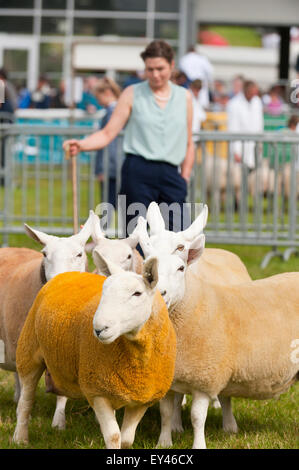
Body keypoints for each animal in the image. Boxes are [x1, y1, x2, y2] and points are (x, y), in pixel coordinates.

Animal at [12, 255, 177, 450]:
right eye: (103, 291)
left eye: (137, 293)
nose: (99, 329)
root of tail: (69, 273)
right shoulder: (97, 391)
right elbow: (114, 436)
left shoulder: (142, 399)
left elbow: (126, 439)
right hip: (28, 352)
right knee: (25, 402)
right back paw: (19, 438)